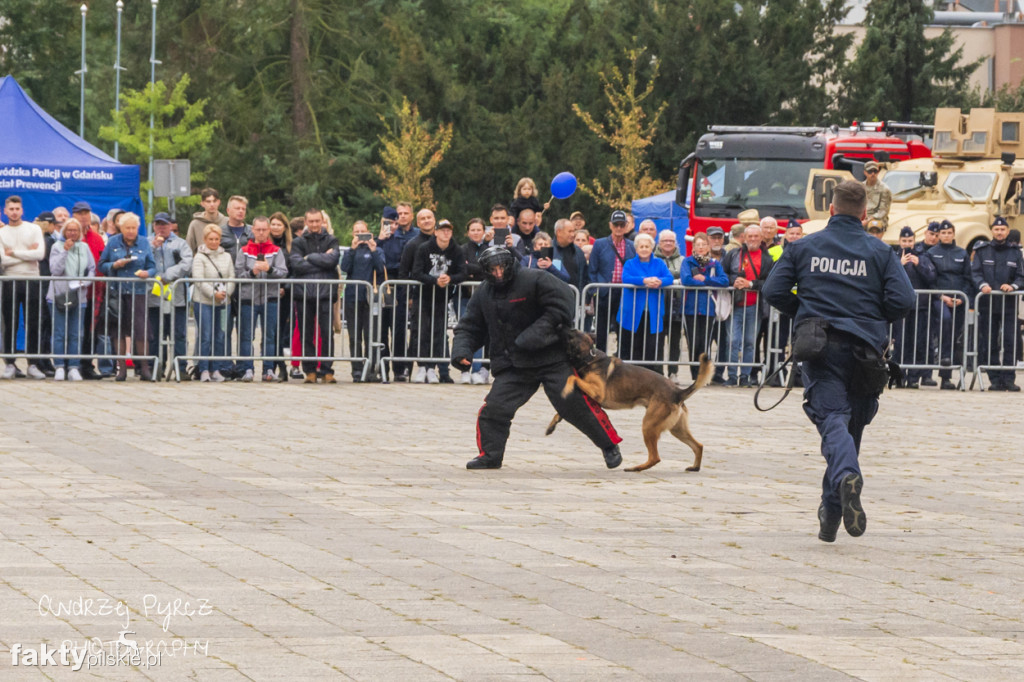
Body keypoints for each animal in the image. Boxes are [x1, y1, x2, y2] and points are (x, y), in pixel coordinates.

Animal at [544, 327, 712, 466]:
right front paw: (552, 423)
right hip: (676, 429)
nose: (558, 325)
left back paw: (635, 469)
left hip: (649, 425)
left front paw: (565, 389)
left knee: (655, 458)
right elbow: (563, 410)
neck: (589, 357)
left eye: (570, 333)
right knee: (698, 446)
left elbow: (572, 378)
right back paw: (694, 468)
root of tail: (677, 392)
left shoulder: (597, 392)